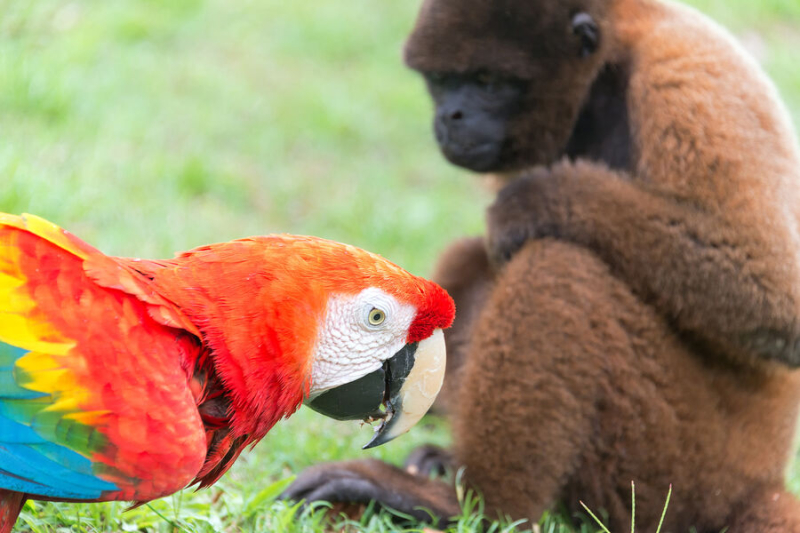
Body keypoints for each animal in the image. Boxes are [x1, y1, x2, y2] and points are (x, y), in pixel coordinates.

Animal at [282, 0, 800, 528]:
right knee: (477, 257)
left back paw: (468, 504)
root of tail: (755, 486)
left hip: (679, 465)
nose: (450, 116)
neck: (607, 65)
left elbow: (777, 296)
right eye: (442, 81)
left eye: (488, 81)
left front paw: (540, 198)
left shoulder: (684, 76)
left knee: (557, 264)